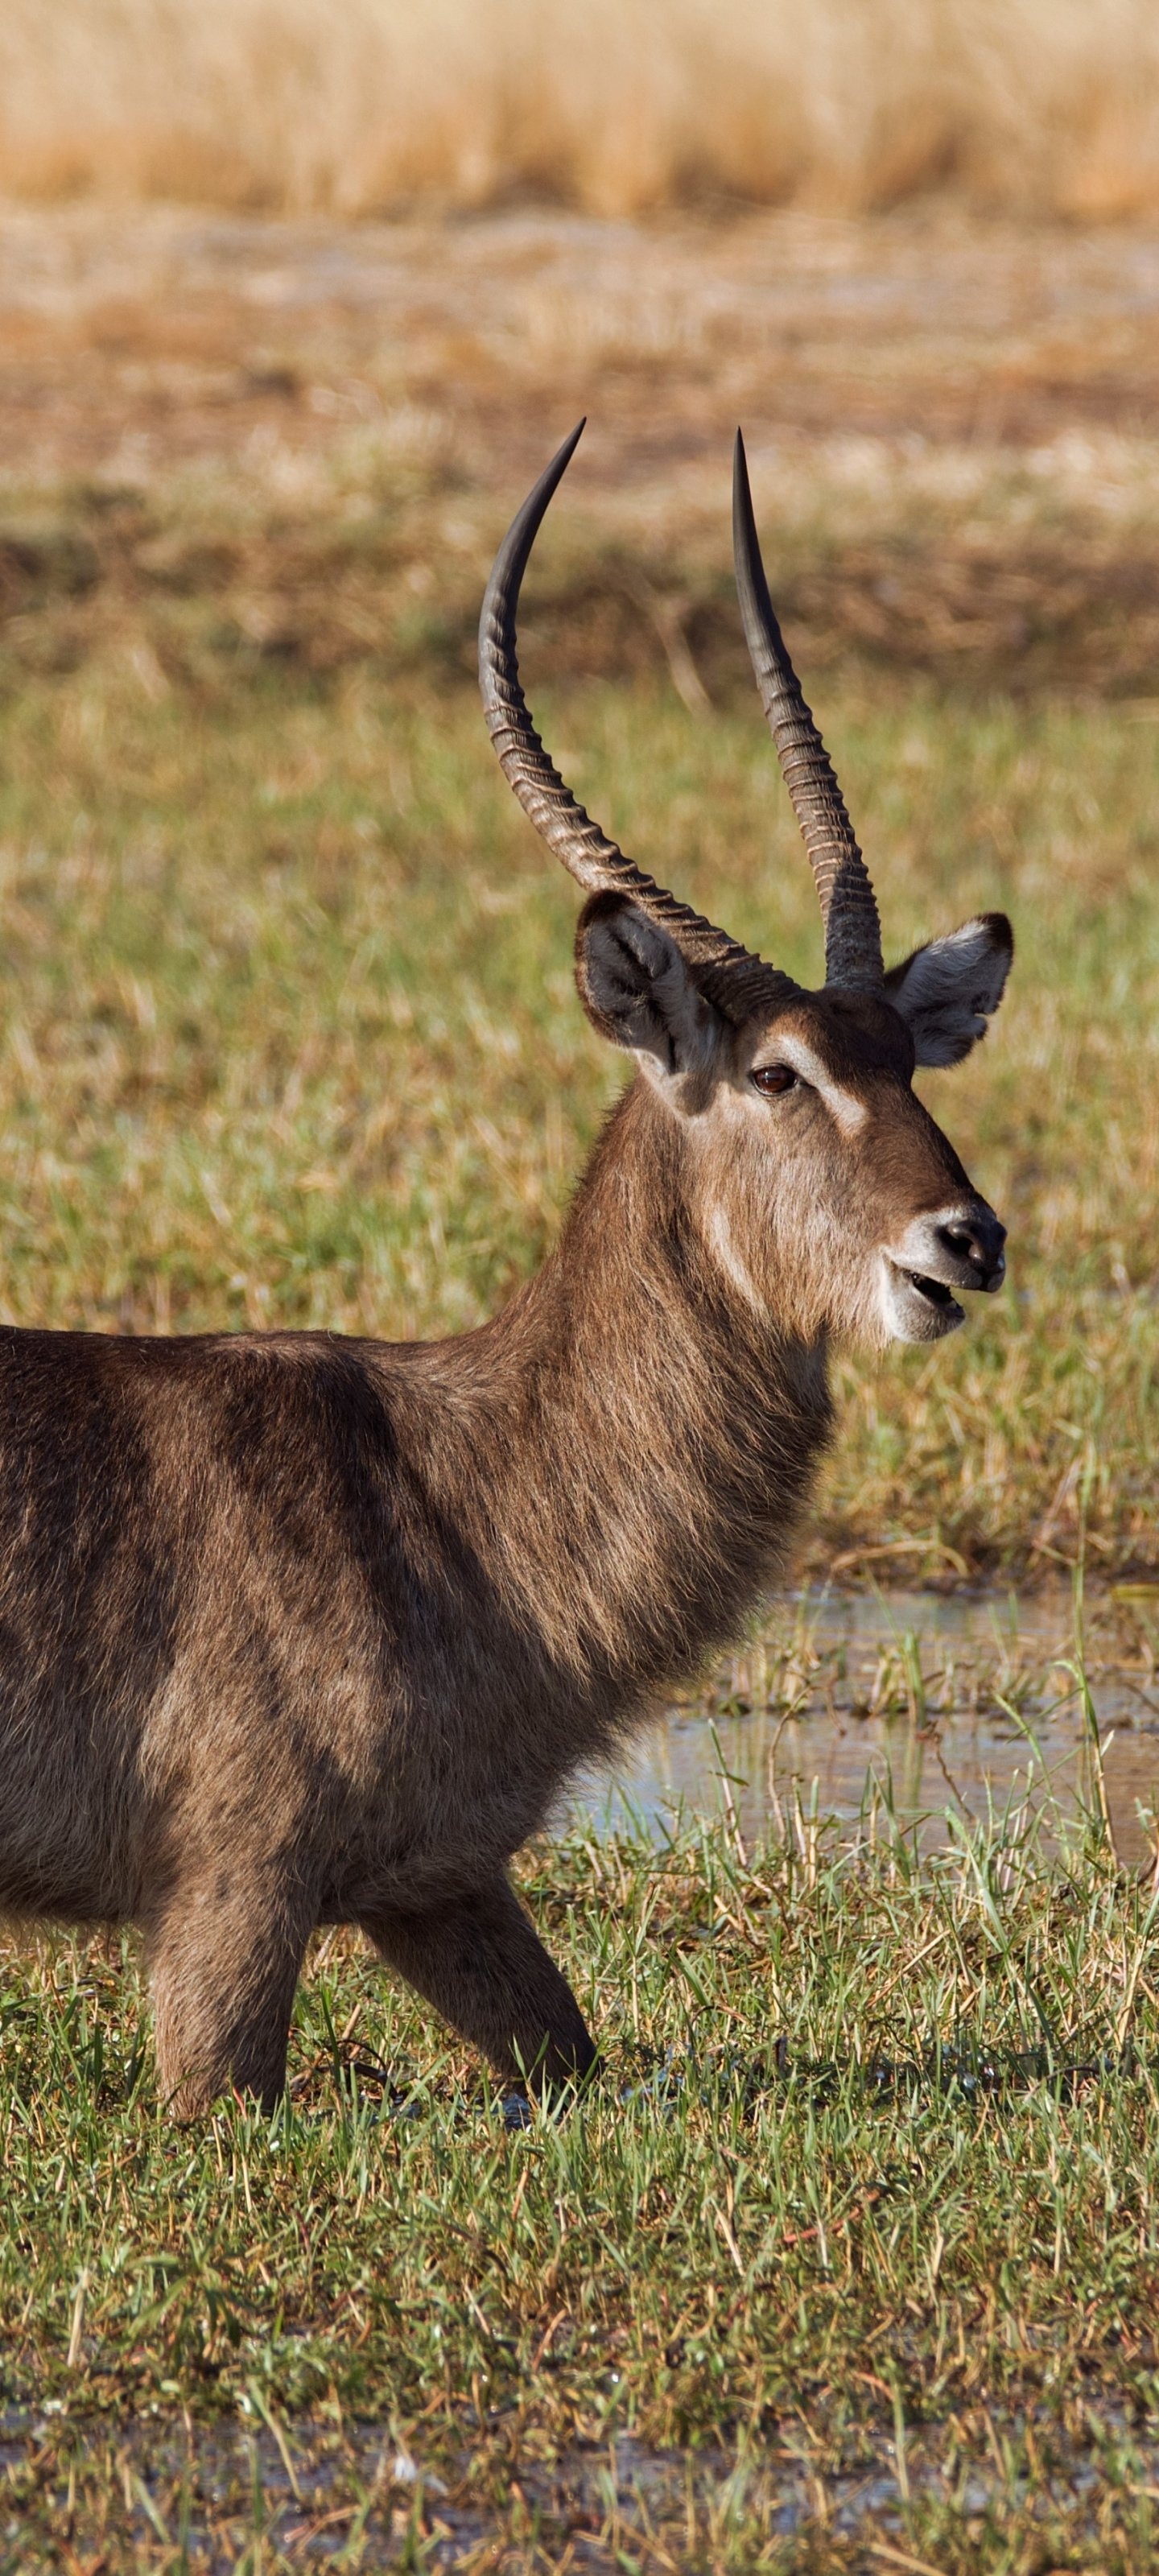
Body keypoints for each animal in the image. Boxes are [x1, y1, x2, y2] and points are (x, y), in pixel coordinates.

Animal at [0, 427, 1009, 2112]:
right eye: (780, 1071)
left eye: (907, 1057)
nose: (965, 1239)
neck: (455, 1488)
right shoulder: (235, 1895)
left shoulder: (444, 1885)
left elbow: (576, 2060)